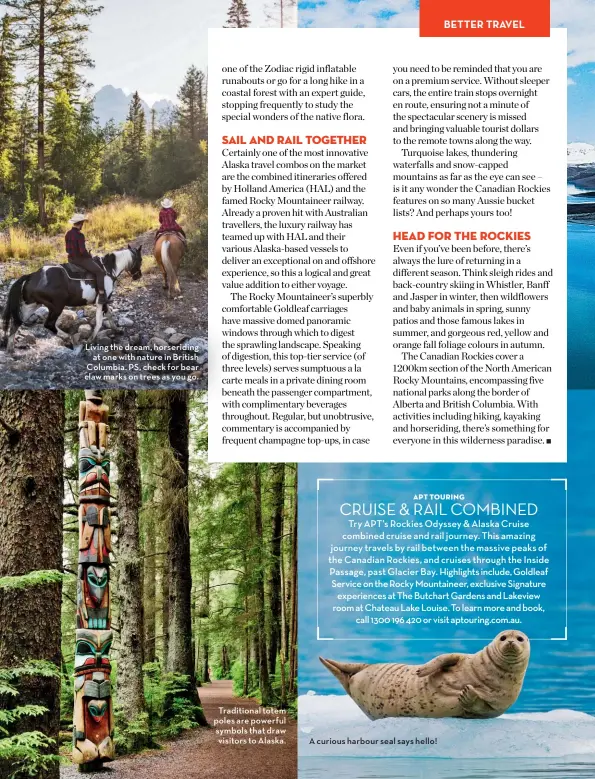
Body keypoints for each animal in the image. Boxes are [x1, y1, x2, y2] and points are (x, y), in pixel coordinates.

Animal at [0, 245, 143, 354]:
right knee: (49, 324)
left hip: (31, 305)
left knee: (16, 323)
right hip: (57, 305)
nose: (138, 276)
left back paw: (11, 349)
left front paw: (117, 330)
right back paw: (72, 340)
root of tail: (32, 276)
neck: (108, 269)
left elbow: (109, 315)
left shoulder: (105, 301)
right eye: (140, 260)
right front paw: (90, 340)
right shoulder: (100, 301)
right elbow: (99, 321)